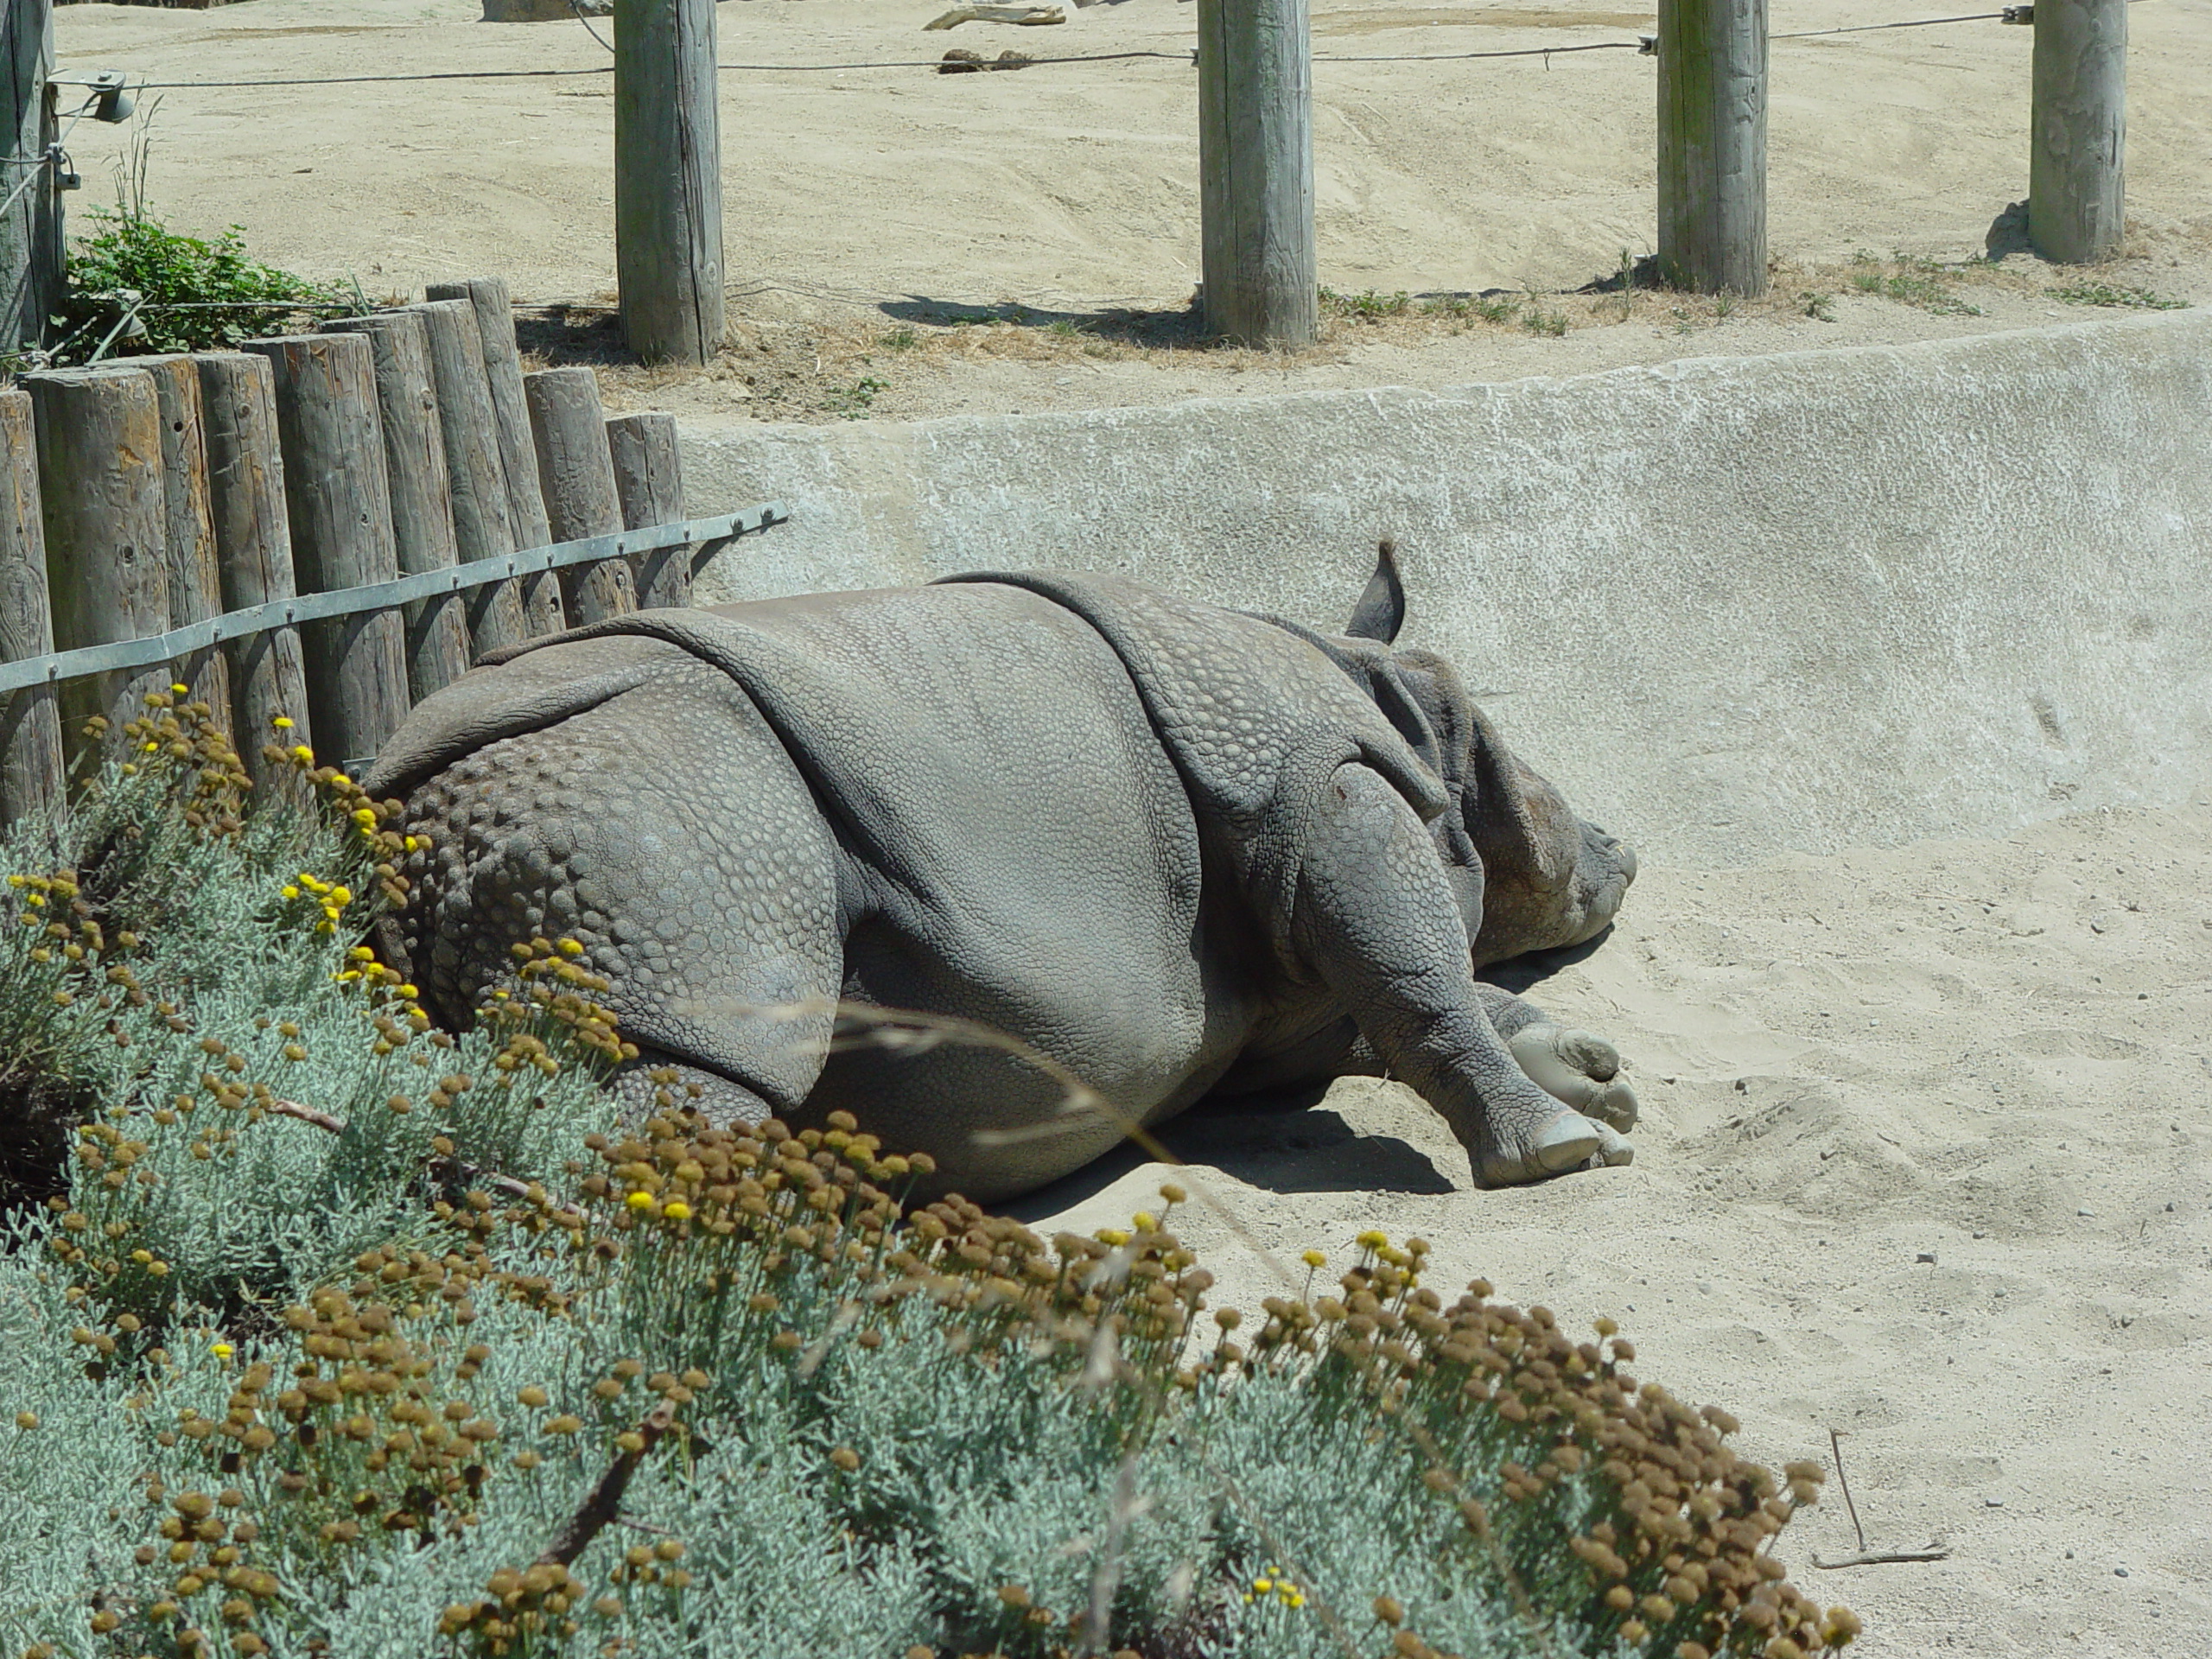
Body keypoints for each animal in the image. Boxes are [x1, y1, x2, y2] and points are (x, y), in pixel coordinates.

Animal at [363, 546, 1640, 1203]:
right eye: (1523, 795)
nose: (1624, 852)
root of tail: (415, 818)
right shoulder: (1305, 784)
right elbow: (1412, 961)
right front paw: (1560, 1152)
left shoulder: (1275, 996)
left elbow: (1398, 992)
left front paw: (1595, 1079)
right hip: (674, 785)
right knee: (693, 1066)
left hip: (588, 795)